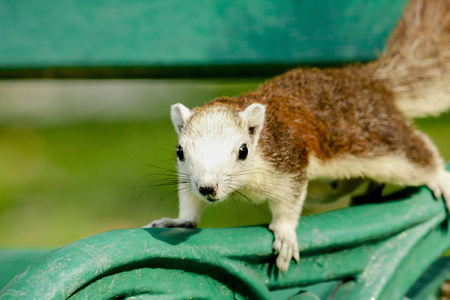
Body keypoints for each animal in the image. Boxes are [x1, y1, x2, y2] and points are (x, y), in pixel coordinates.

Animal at [144, 0, 450, 274]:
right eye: (180, 152)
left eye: (243, 150)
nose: (208, 188)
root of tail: (369, 81)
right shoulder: (187, 177)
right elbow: (189, 203)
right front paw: (179, 221)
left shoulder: (288, 161)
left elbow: (288, 204)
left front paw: (285, 235)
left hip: (376, 138)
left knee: (418, 153)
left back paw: (439, 178)